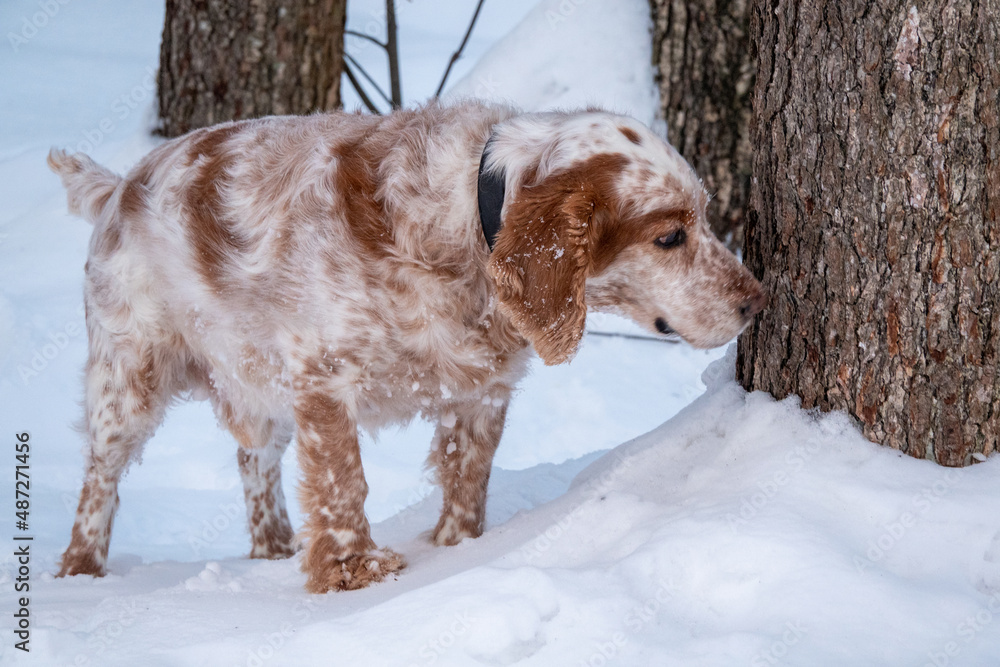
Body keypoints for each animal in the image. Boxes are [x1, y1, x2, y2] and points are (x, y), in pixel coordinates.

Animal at [48, 102, 764, 592]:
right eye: (670, 236)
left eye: (704, 216)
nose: (756, 300)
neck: (466, 227)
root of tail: (120, 186)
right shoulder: (323, 379)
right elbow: (344, 484)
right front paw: (353, 572)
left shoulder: (479, 392)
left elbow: (467, 481)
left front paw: (457, 551)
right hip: (128, 381)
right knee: (99, 481)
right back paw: (82, 574)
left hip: (255, 381)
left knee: (255, 461)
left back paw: (274, 551)